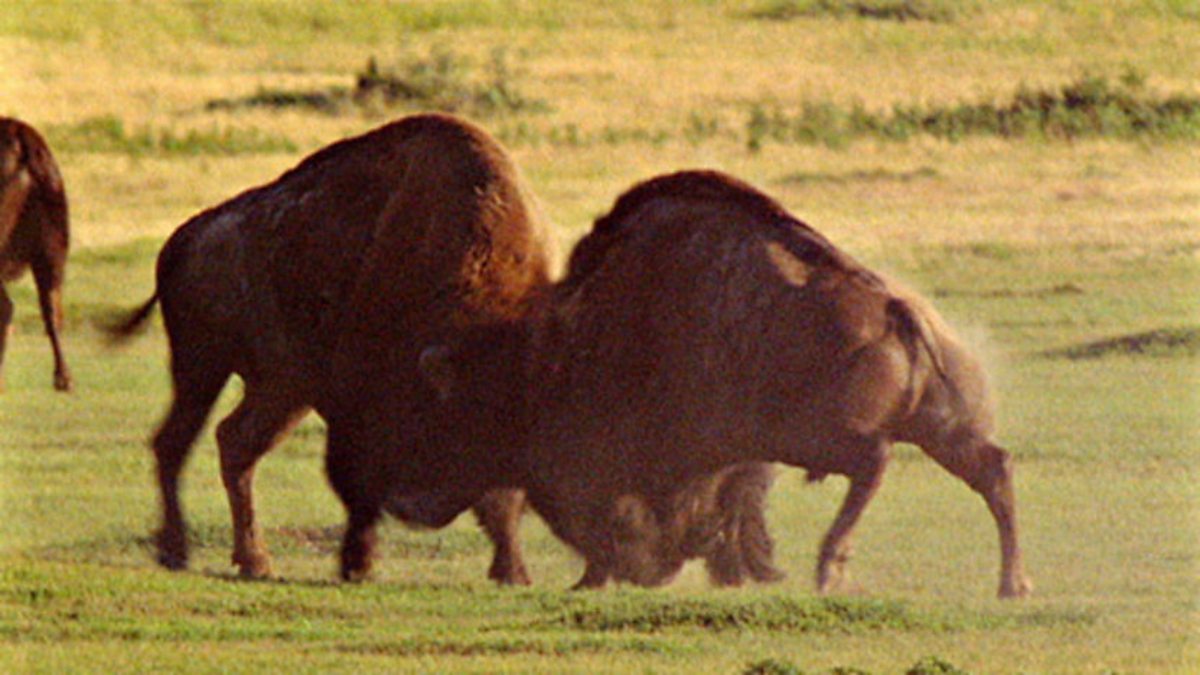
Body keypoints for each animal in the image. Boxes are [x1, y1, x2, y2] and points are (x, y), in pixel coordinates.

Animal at [418, 169, 1033, 597]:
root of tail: (895, 309)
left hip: (815, 436)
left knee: (876, 464)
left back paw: (829, 569)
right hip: (936, 429)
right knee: (993, 471)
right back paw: (1012, 585)